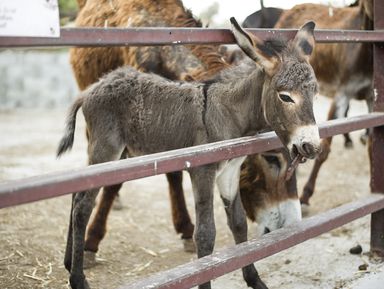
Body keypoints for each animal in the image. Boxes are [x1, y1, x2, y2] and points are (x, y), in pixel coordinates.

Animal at [57, 18, 320, 288]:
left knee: (76, 194)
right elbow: (205, 234)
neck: (228, 113)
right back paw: (78, 278)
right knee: (83, 205)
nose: (311, 147)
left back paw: (69, 262)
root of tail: (92, 89)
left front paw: (255, 280)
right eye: (285, 97)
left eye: (315, 93)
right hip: (107, 149)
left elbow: (238, 223)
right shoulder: (202, 171)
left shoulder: (230, 171)